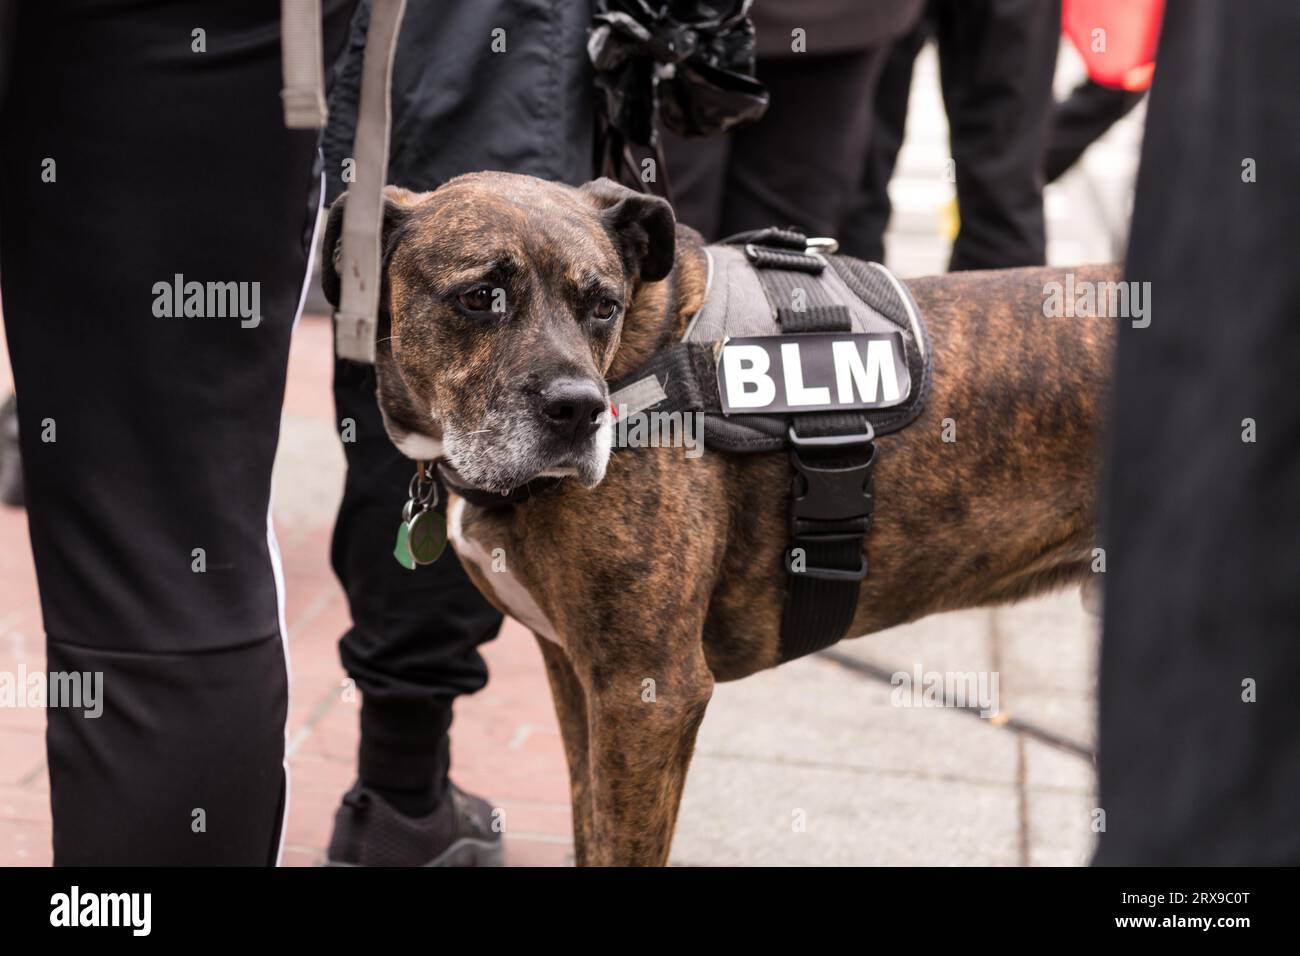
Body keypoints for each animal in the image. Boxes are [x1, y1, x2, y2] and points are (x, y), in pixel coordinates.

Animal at [319, 171, 1112, 868]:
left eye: (602, 306)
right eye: (481, 297)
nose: (579, 409)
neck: (641, 362)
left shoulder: (649, 692)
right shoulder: (580, 678)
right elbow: (588, 827)